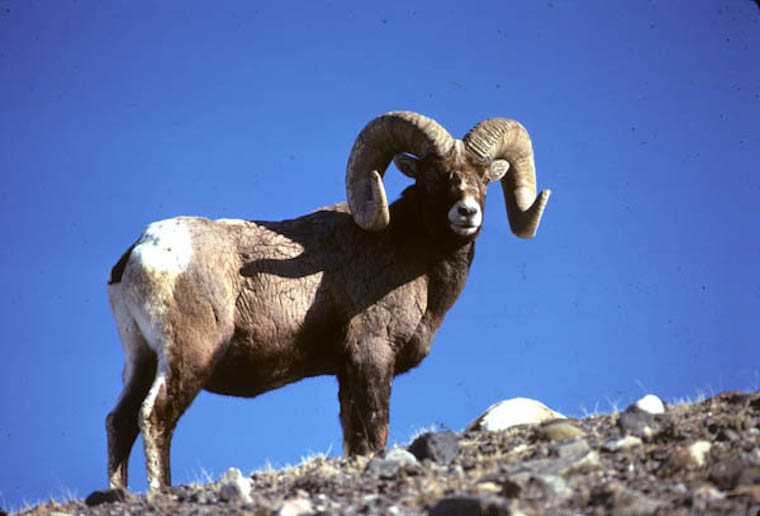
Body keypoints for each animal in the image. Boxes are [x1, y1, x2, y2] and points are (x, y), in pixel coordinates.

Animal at [105, 111, 551, 491]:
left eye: (485, 178)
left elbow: (354, 438)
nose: (467, 213)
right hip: (189, 358)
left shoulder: (345, 374)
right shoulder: (372, 357)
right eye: (433, 176)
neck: (414, 259)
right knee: (155, 417)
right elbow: (375, 430)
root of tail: (141, 251)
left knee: (120, 422)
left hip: (142, 360)